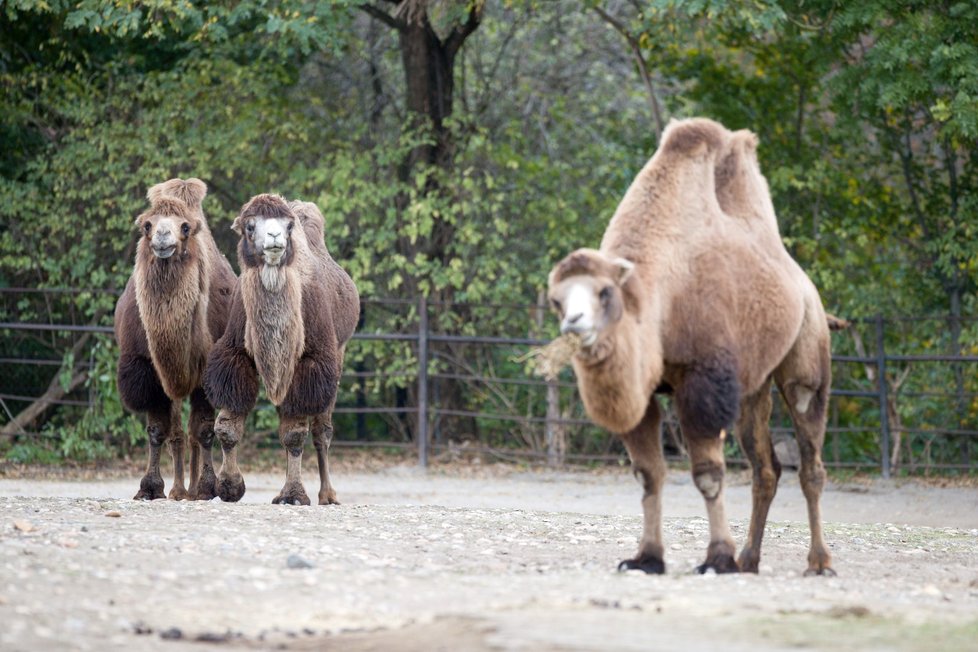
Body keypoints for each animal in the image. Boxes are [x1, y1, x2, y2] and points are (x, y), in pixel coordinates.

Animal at [114, 178, 234, 500]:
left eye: (185, 227)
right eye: (147, 225)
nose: (162, 236)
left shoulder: (206, 369)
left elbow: (204, 431)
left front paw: (206, 487)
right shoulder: (146, 368)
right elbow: (157, 431)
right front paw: (149, 487)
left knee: (192, 433)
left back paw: (190, 489)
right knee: (178, 432)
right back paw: (179, 489)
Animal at [203, 194, 358, 504]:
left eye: (288, 226)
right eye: (250, 226)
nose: (274, 237)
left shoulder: (310, 363)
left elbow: (295, 434)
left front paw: (294, 494)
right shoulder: (235, 354)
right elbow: (226, 425)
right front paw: (229, 485)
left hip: (339, 353)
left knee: (321, 431)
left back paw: (328, 495)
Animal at [544, 117, 836, 576]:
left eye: (605, 293)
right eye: (556, 299)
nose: (574, 323)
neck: (660, 298)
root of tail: (802, 283)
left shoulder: (704, 378)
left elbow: (707, 473)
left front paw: (717, 558)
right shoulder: (645, 392)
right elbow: (648, 473)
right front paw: (646, 558)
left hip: (807, 355)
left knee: (811, 461)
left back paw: (818, 562)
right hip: (753, 387)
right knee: (765, 468)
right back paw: (750, 559)